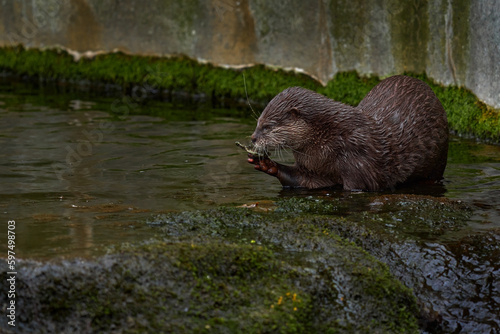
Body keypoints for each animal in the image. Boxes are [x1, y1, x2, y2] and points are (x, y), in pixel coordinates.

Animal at [246, 75, 450, 190]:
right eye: (258, 122)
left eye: (268, 126)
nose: (253, 138)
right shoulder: (313, 169)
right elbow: (302, 180)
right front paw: (267, 164)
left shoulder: (358, 160)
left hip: (438, 159)